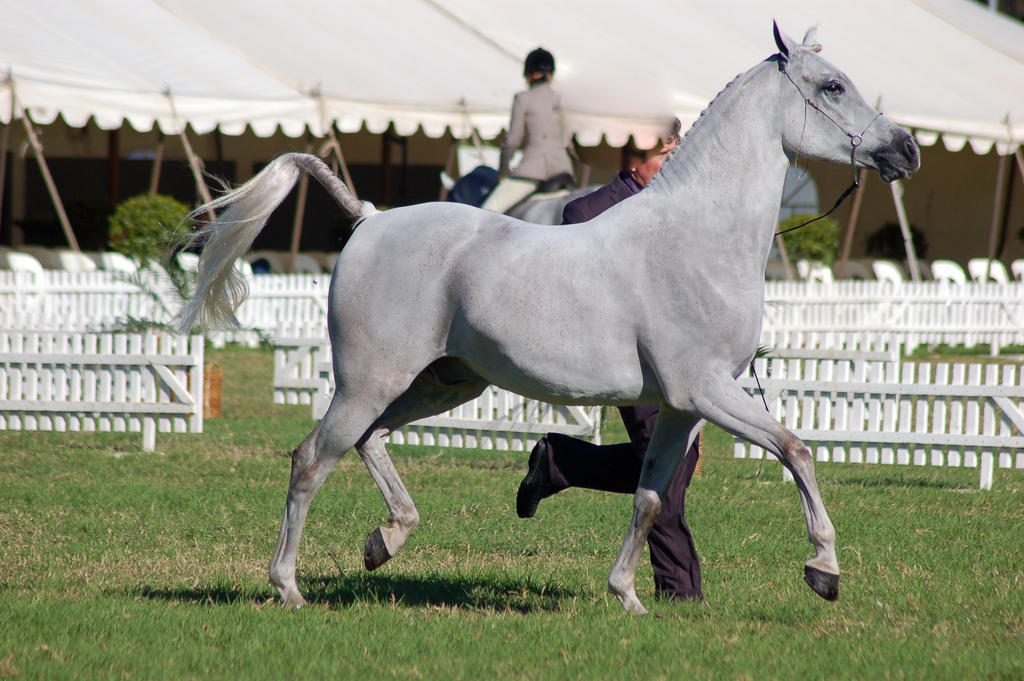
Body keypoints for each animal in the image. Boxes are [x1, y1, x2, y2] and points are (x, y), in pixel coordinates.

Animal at [178, 23, 921, 614]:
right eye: (832, 86)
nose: (907, 150)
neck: (698, 237)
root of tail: (368, 219)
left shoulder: (681, 408)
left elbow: (651, 497)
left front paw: (627, 597)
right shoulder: (707, 390)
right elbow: (796, 449)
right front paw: (823, 570)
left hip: (444, 382)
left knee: (368, 441)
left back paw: (384, 541)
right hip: (370, 380)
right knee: (313, 458)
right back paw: (289, 587)